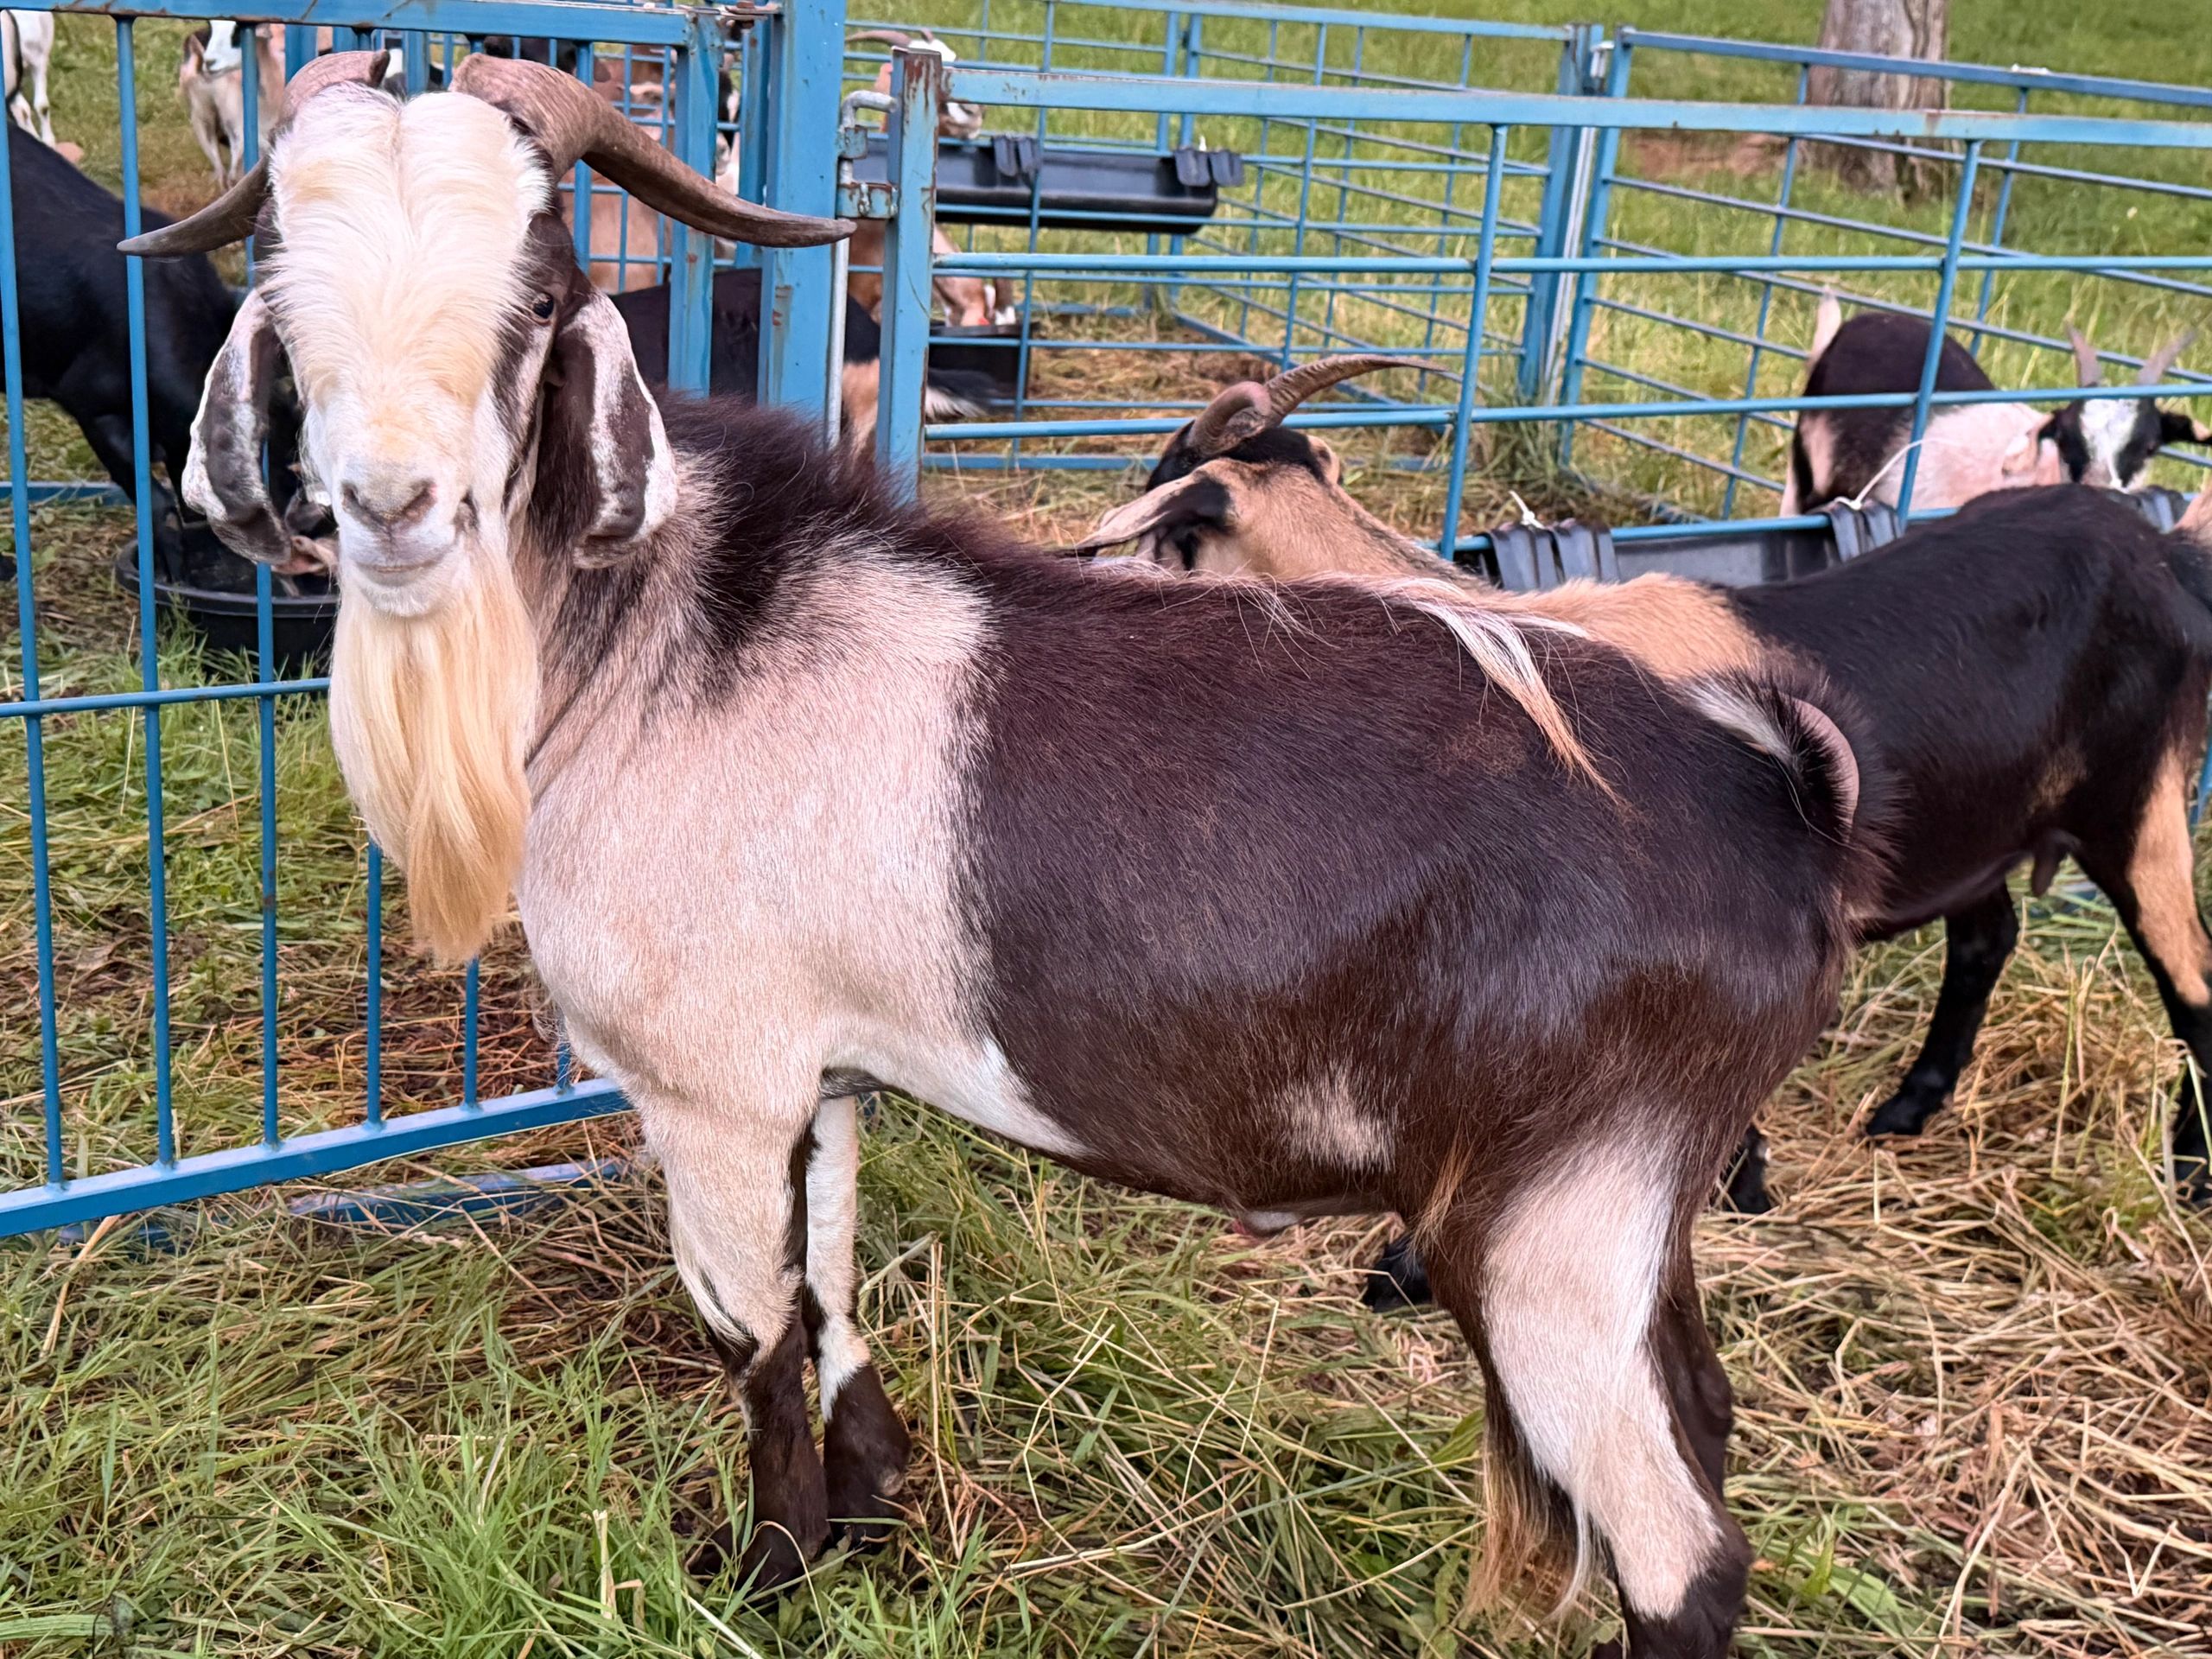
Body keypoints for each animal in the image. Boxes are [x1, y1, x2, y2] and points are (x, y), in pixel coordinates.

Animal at [137, 55, 1887, 1657]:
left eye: (542, 289)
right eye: (278, 286)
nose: (391, 506)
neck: (659, 651)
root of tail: (1777, 800)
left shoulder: (710, 1089)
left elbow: (749, 1335)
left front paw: (766, 1575)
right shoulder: (824, 1071)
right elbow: (830, 1287)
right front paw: (873, 1501)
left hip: (1552, 1229)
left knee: (1679, 1549)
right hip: (1636, 1214)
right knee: (1708, 1415)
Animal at [1085, 362, 2212, 1238]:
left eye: (1165, 501)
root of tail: (2160, 554)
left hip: (2141, 804)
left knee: (2190, 979)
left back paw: (2191, 1179)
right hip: (1979, 820)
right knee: (1987, 938)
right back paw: (1907, 1109)